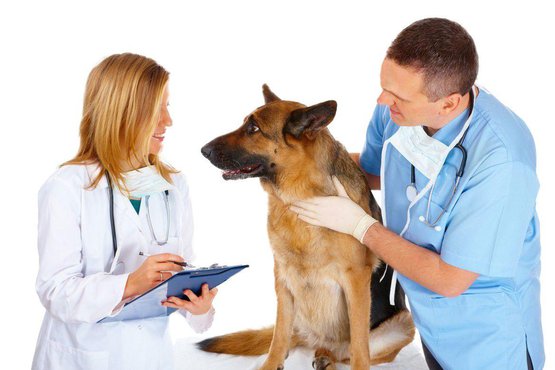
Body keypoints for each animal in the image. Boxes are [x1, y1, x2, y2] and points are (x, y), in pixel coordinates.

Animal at [199, 85, 412, 368]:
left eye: (253, 128)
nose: (203, 150)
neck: (298, 198)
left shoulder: (356, 278)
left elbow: (359, 347)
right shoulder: (282, 276)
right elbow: (278, 337)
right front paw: (271, 364)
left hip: (403, 324)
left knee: (348, 350)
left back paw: (327, 357)